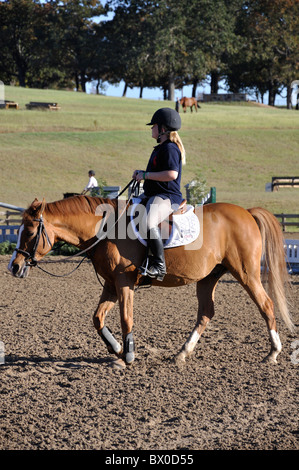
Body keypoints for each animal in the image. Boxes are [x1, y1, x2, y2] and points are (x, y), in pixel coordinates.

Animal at [8, 195, 294, 368]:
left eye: (30, 232)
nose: (14, 266)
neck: (106, 230)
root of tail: (247, 212)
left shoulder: (123, 282)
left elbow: (126, 318)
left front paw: (127, 355)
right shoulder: (111, 284)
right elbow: (97, 318)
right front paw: (116, 349)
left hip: (246, 273)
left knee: (266, 305)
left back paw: (273, 352)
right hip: (208, 277)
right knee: (206, 313)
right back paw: (183, 352)